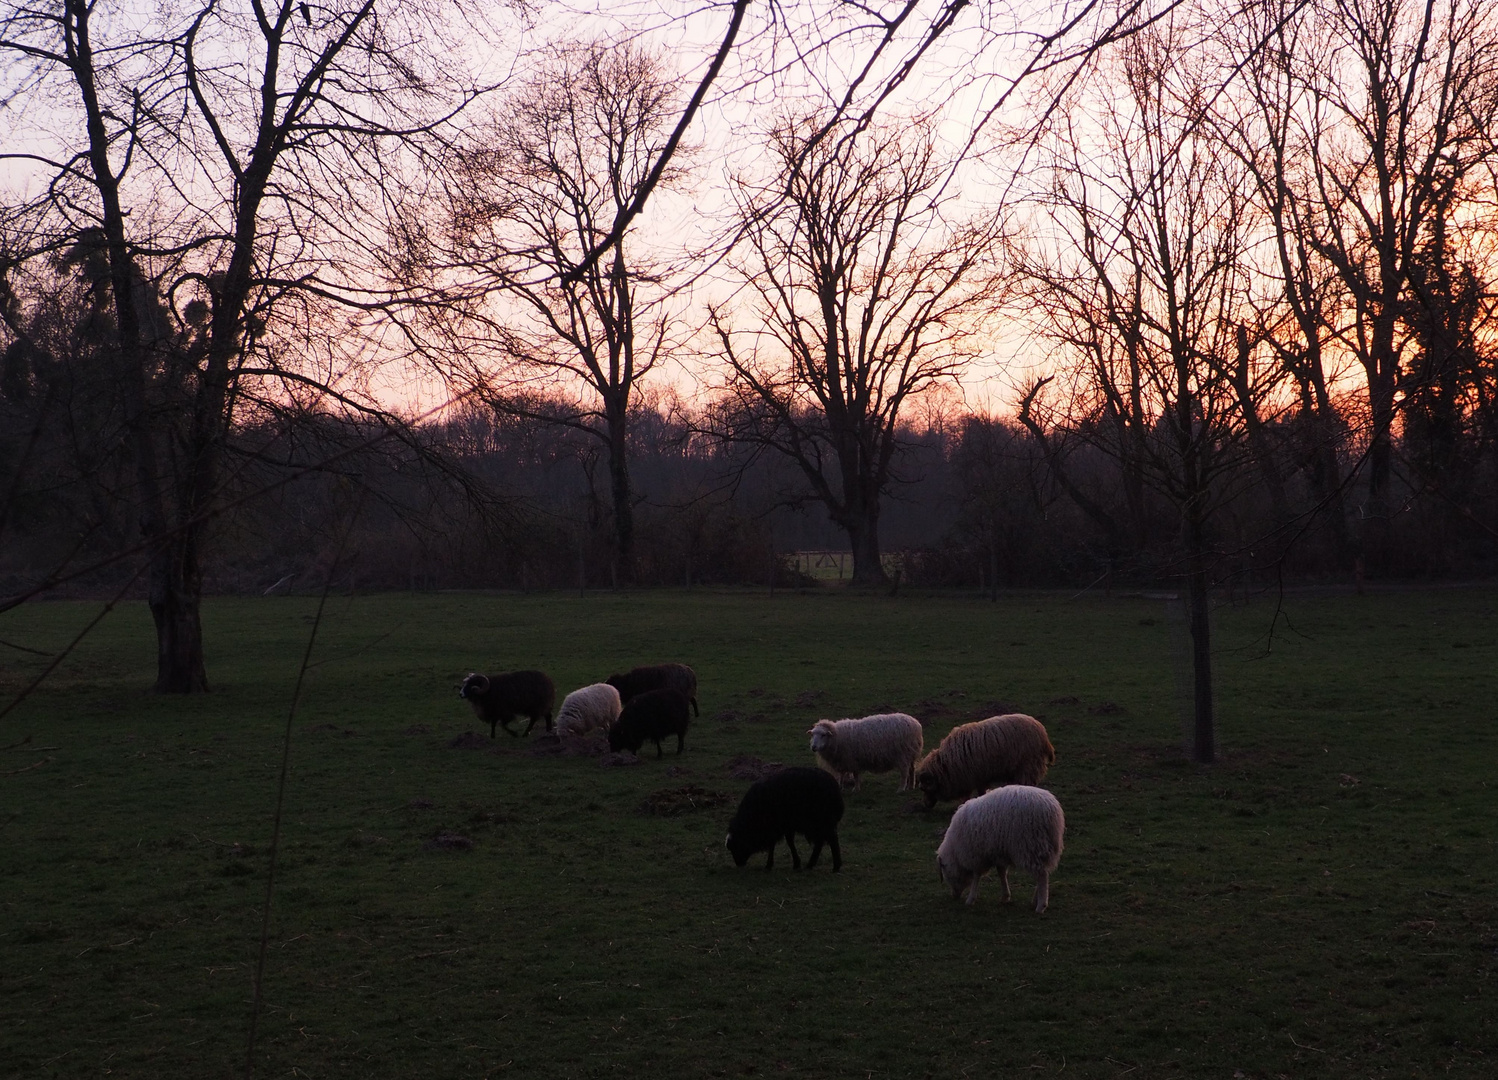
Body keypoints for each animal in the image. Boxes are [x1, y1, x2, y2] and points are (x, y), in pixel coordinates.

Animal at [934, 784, 1066, 910]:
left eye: (945, 874)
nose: (954, 896)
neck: (955, 851)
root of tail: (1052, 810)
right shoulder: (998, 853)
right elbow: (1001, 872)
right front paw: (1005, 896)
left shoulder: (976, 855)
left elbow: (976, 876)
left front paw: (971, 898)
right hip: (1043, 847)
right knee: (1043, 873)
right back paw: (1035, 900)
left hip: (1031, 846)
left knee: (1042, 875)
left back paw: (1041, 905)